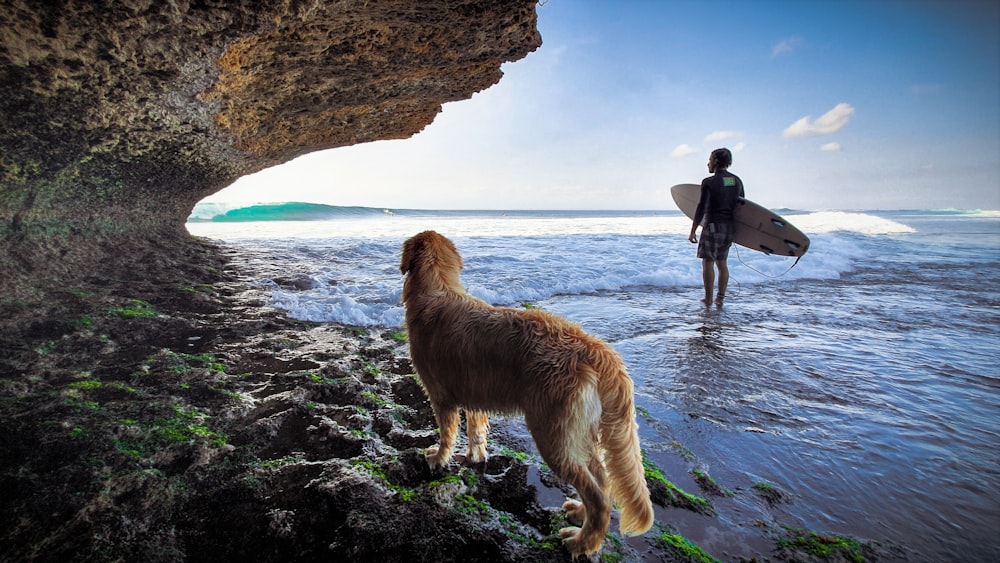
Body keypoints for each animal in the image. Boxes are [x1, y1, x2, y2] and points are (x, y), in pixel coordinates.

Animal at [400, 231, 656, 556]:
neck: (437, 290)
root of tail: (595, 349)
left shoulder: (442, 396)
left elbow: (447, 434)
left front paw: (438, 458)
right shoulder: (475, 397)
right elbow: (476, 432)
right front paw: (475, 456)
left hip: (553, 434)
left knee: (598, 498)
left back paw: (581, 542)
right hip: (579, 432)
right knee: (602, 481)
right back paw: (579, 514)